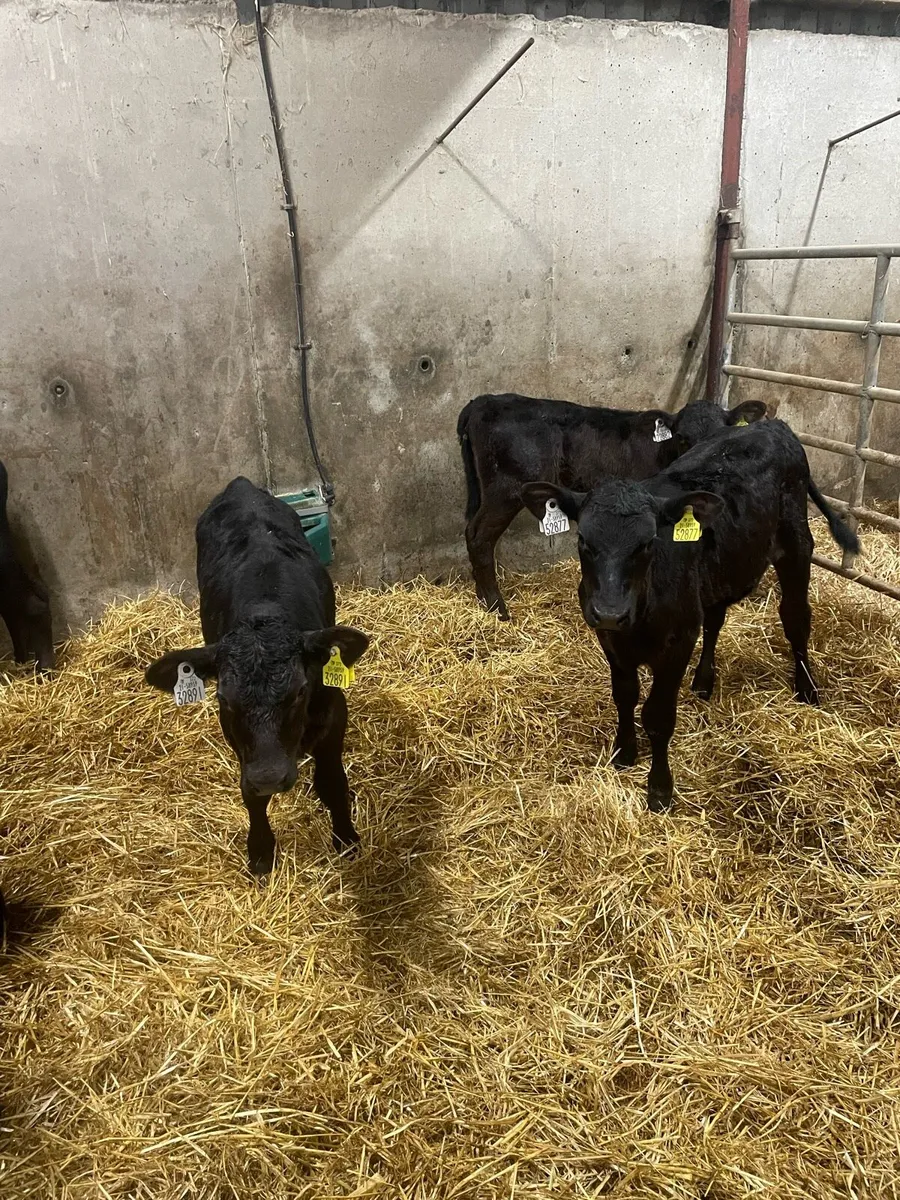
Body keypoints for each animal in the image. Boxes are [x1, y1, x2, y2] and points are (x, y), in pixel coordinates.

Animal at [144, 477, 370, 876]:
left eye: (300, 691)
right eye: (223, 698)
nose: (269, 776)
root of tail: (242, 485)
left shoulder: (334, 710)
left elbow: (332, 783)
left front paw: (346, 839)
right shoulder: (235, 736)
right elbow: (250, 794)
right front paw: (261, 851)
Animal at [457, 393, 766, 619]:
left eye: (722, 432)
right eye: (682, 437)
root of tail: (485, 400)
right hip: (505, 489)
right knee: (479, 536)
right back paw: (497, 608)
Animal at [521, 419, 857, 814]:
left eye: (648, 543)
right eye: (583, 541)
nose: (609, 612)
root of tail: (773, 424)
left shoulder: (676, 642)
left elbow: (658, 716)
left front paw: (659, 789)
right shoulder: (611, 641)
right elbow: (624, 696)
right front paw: (624, 752)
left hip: (796, 544)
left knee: (795, 618)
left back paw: (806, 688)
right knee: (714, 621)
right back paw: (703, 680)